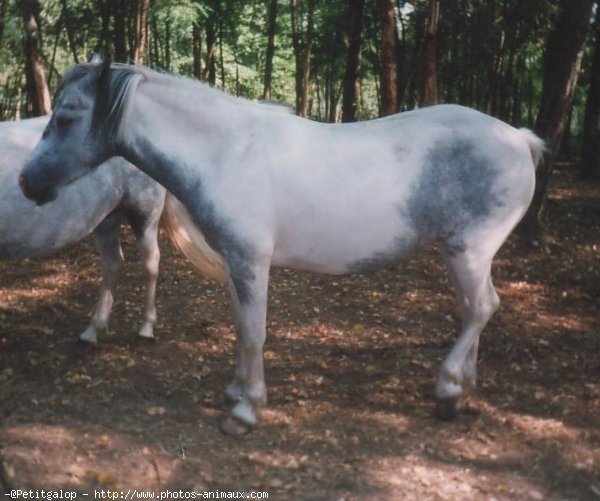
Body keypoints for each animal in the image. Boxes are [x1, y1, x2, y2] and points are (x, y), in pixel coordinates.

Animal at [19, 63, 544, 434]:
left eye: (66, 117)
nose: (26, 183)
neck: (227, 153)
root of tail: (517, 137)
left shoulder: (252, 262)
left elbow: (255, 332)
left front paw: (247, 410)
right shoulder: (236, 264)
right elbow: (239, 327)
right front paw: (235, 390)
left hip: (470, 249)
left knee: (482, 306)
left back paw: (449, 389)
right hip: (459, 253)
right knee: (471, 309)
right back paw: (462, 386)